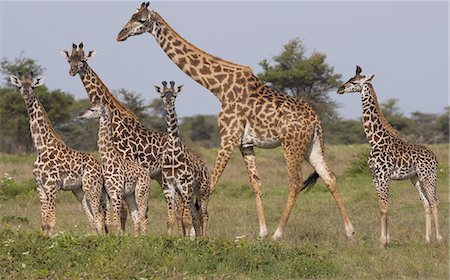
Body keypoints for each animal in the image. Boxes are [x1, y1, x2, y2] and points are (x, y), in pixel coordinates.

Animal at [9, 72, 107, 236]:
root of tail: (99, 167)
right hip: (79, 190)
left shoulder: (51, 185)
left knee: (99, 217)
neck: (40, 147)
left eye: (33, 86)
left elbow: (51, 222)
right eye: (20, 85)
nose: (26, 92)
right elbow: (44, 222)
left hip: (92, 187)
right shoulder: (40, 186)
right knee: (92, 219)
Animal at [79, 100, 151, 236]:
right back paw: (137, 238)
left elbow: (117, 222)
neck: (107, 160)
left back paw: (144, 238)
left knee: (143, 218)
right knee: (137, 218)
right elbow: (110, 222)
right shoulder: (107, 193)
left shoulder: (117, 193)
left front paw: (118, 239)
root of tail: (147, 174)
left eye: (92, 110)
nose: (80, 115)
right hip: (130, 196)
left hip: (141, 192)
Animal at [155, 80, 211, 236]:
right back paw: (198, 237)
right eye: (163, 95)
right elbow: (170, 219)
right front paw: (171, 238)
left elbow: (186, 219)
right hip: (190, 192)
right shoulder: (169, 186)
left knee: (204, 213)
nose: (168, 102)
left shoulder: (186, 185)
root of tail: (205, 166)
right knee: (196, 214)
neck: (173, 152)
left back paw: (204, 237)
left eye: (174, 95)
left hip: (202, 189)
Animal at [338, 66, 442, 247]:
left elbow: (385, 206)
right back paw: (427, 240)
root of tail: (434, 157)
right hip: (415, 178)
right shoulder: (375, 176)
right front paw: (384, 240)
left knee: (435, 202)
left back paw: (439, 239)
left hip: (428, 176)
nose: (340, 89)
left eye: (354, 82)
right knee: (426, 203)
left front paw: (383, 242)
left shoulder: (384, 176)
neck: (374, 140)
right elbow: (381, 206)